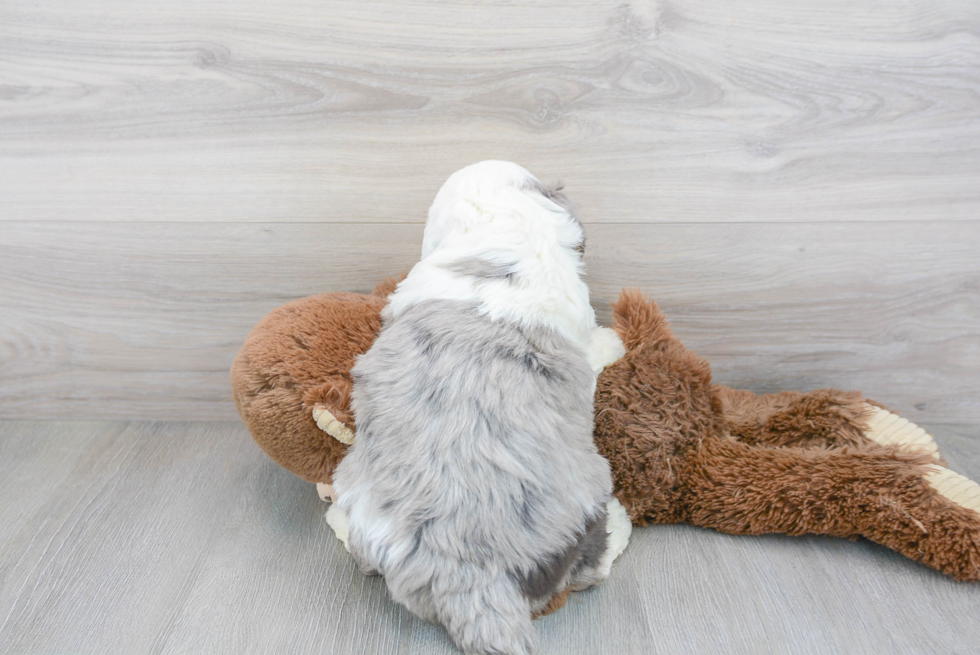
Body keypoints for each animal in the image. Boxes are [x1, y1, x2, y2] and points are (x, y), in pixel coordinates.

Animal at [334, 160, 632, 655]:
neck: (505, 234)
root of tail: (468, 570)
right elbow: (594, 347)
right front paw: (614, 341)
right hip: (586, 503)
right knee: (588, 568)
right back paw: (621, 526)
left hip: (356, 487)